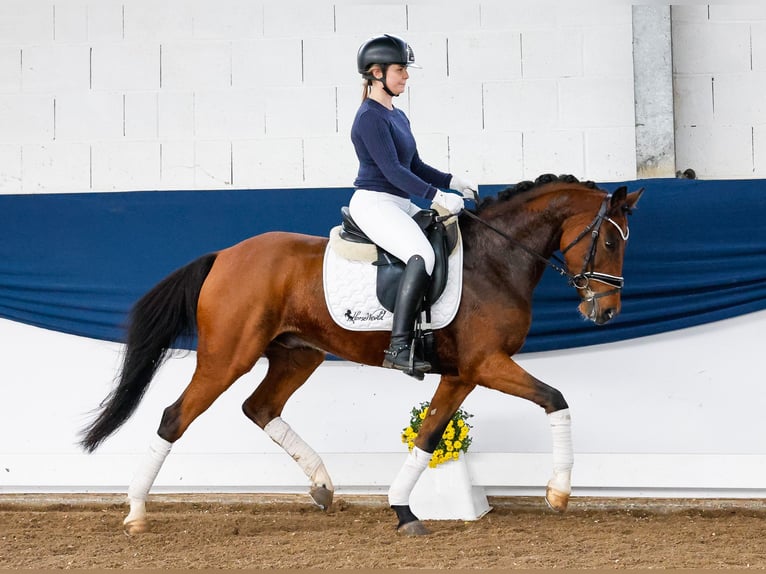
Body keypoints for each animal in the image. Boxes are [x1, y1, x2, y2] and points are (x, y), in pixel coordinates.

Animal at [79, 173, 640, 536]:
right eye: (612, 242)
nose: (606, 311)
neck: (496, 261)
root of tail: (225, 256)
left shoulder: (462, 373)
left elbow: (430, 435)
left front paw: (403, 511)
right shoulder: (487, 364)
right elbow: (555, 399)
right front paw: (558, 493)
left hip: (297, 355)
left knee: (260, 407)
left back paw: (324, 487)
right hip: (226, 357)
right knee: (174, 417)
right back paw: (135, 512)